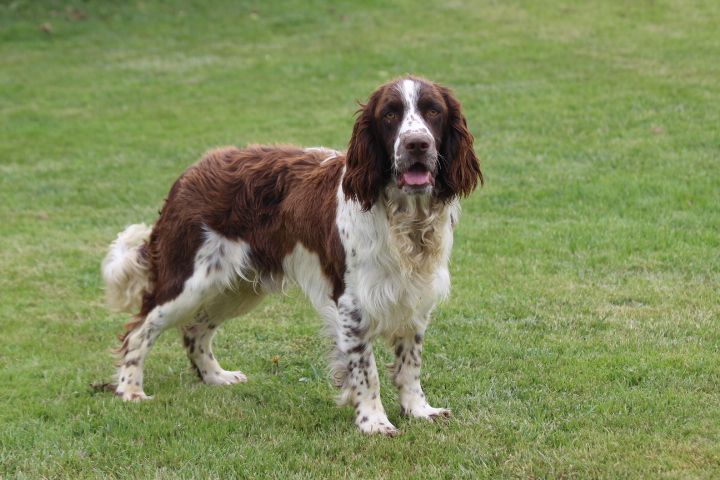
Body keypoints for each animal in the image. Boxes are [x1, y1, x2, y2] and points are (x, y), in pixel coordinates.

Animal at [101, 75, 484, 436]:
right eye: (390, 114)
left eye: (433, 111)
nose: (416, 144)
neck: (404, 219)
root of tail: (191, 173)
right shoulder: (352, 304)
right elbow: (367, 371)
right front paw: (373, 422)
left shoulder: (414, 294)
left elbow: (410, 365)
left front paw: (418, 410)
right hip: (188, 281)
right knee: (140, 331)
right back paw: (130, 389)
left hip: (236, 289)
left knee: (195, 329)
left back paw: (215, 376)